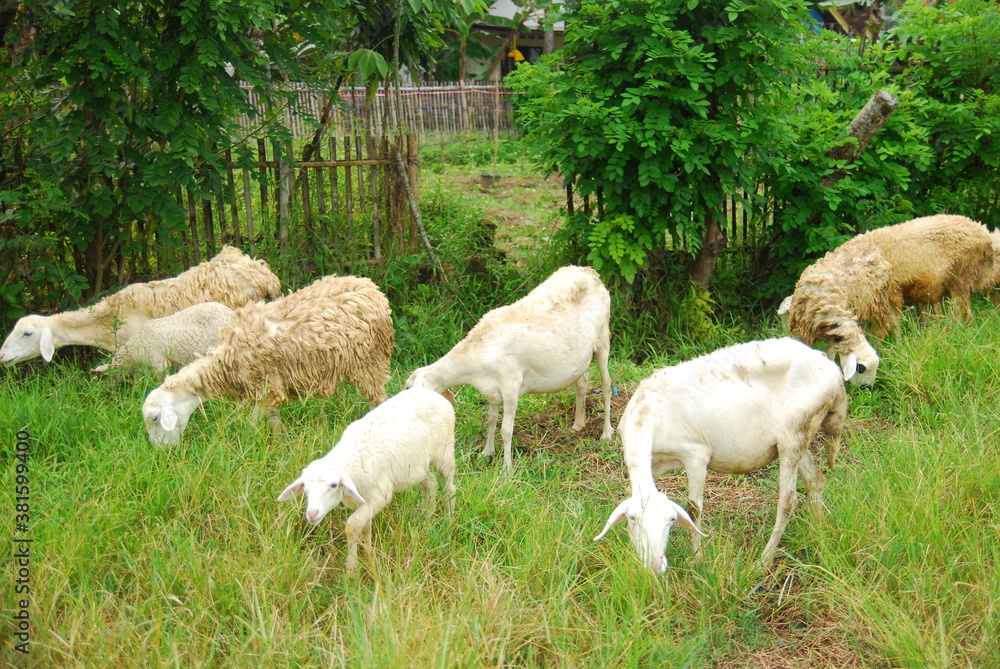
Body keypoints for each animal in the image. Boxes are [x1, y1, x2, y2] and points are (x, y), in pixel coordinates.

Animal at [142, 275, 393, 446]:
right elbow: (273, 419)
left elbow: (251, 424)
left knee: (379, 398)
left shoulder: (264, 385)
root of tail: (371, 287)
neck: (225, 363)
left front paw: (245, 444)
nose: (163, 453)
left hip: (371, 360)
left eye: (155, 418)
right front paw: (280, 441)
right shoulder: (272, 386)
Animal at [277, 387, 456, 574]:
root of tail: (428, 391)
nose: (312, 514)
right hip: (417, 465)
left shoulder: (379, 496)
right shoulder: (364, 501)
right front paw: (370, 556)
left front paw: (351, 569)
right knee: (430, 483)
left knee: (449, 488)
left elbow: (352, 526)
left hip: (444, 451)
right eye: (305, 487)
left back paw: (448, 522)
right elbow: (365, 530)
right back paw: (426, 518)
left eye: (334, 485)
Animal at [404, 265, 613, 471]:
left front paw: (507, 467)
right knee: (582, 383)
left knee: (607, 385)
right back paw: (578, 424)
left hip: (603, 340)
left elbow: (506, 429)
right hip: (578, 359)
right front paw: (487, 452)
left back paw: (607, 433)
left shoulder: (510, 385)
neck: (473, 356)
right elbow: (490, 418)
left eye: (409, 389)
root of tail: (588, 271)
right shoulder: (492, 389)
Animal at [594, 338, 847, 574]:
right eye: (633, 518)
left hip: (794, 435)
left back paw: (763, 561)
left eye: (672, 520)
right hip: (798, 436)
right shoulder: (654, 463)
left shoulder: (695, 454)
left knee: (787, 502)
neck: (646, 417)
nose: (655, 566)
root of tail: (834, 373)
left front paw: (697, 559)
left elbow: (694, 509)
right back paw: (819, 532)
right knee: (815, 481)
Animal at [787, 243, 903, 385]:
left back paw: (897, 344)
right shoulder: (801, 332)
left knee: (889, 324)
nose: (867, 388)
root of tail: (870, 247)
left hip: (880, 300)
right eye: (861, 368)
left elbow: (831, 355)